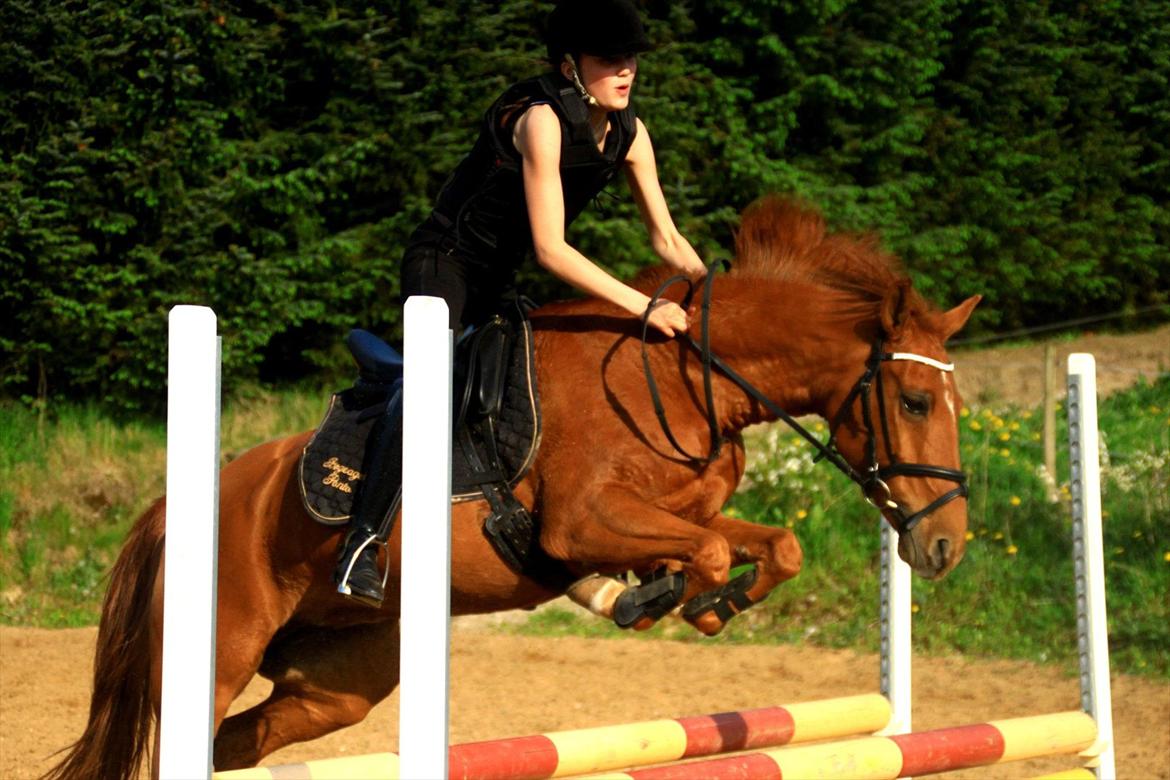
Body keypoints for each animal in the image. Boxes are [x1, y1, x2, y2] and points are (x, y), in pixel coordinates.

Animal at [44, 196, 979, 779]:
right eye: (914, 399)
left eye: (953, 402)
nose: (943, 546)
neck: (684, 375)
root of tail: (183, 503)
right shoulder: (583, 521)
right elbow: (708, 551)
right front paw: (663, 598)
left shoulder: (681, 510)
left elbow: (768, 544)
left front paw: (698, 603)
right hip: (219, 649)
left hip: (335, 684)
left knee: (239, 744)